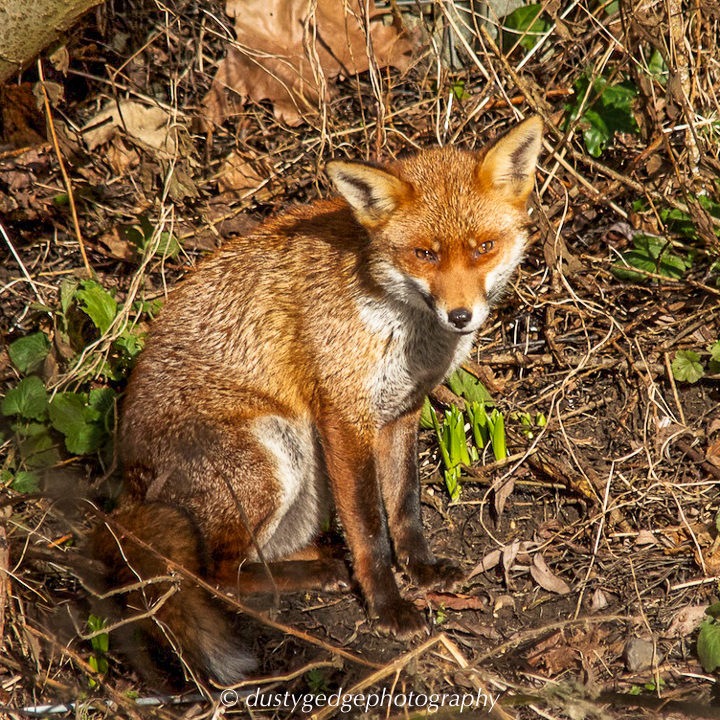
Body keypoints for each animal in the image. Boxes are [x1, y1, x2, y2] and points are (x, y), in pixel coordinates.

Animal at [91, 116, 543, 684]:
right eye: (425, 254)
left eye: (484, 246)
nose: (460, 316)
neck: (399, 321)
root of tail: (126, 494)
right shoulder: (344, 417)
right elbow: (370, 529)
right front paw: (388, 606)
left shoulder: (401, 411)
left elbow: (404, 506)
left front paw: (420, 569)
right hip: (272, 452)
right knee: (214, 574)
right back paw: (310, 574)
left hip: (304, 476)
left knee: (255, 553)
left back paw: (320, 557)